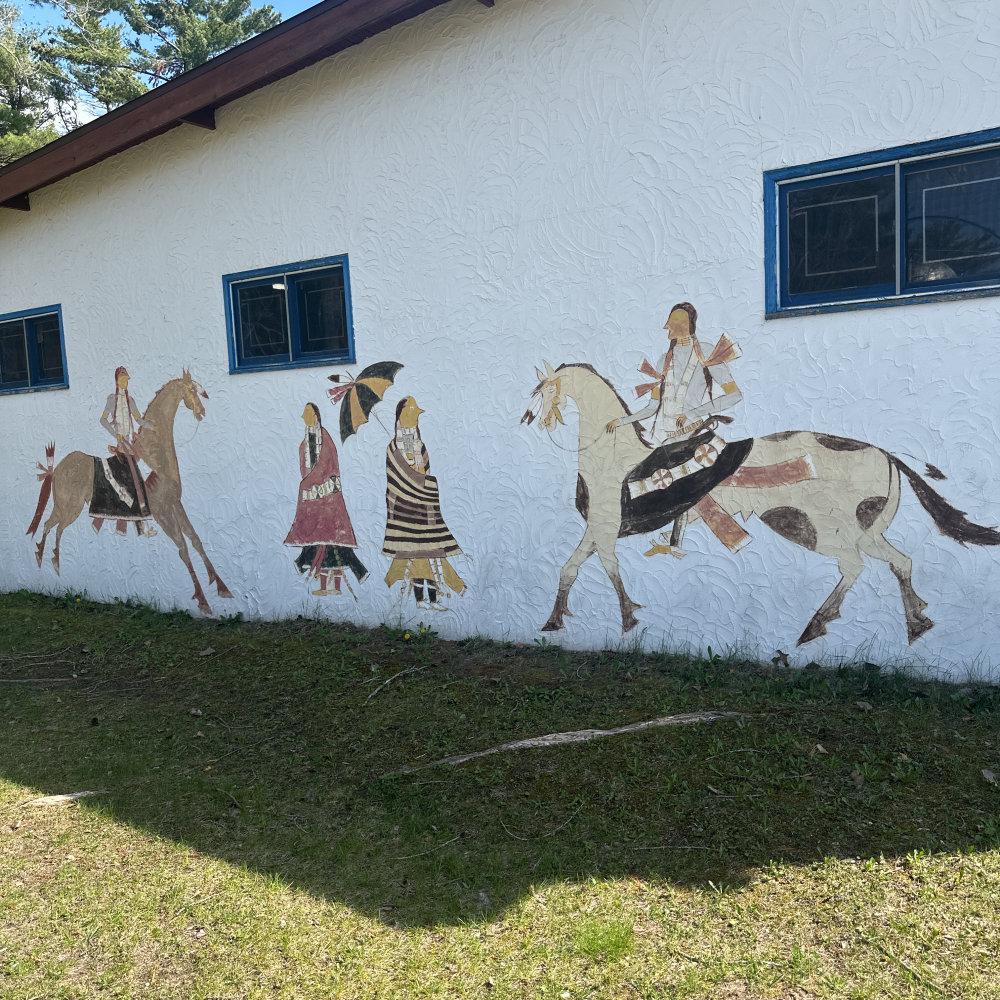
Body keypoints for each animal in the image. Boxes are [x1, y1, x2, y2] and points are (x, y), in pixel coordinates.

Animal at [26, 372, 232, 612]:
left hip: (68, 508)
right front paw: (202, 599)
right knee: (51, 525)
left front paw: (221, 586)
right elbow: (183, 548)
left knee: (53, 527)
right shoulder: (162, 512)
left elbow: (195, 539)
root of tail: (57, 468)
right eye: (191, 390)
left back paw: (50, 561)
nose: (201, 411)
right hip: (69, 507)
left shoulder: (175, 503)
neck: (156, 457)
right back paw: (47, 559)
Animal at [524, 364, 1000, 644]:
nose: (529, 418)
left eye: (543, 388)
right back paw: (916, 623)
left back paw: (814, 626)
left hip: (820, 527)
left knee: (855, 567)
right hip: (864, 529)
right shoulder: (599, 530)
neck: (610, 453)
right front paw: (553, 621)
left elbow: (606, 568)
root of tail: (886, 454)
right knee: (900, 561)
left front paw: (625, 619)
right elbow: (570, 568)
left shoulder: (604, 527)